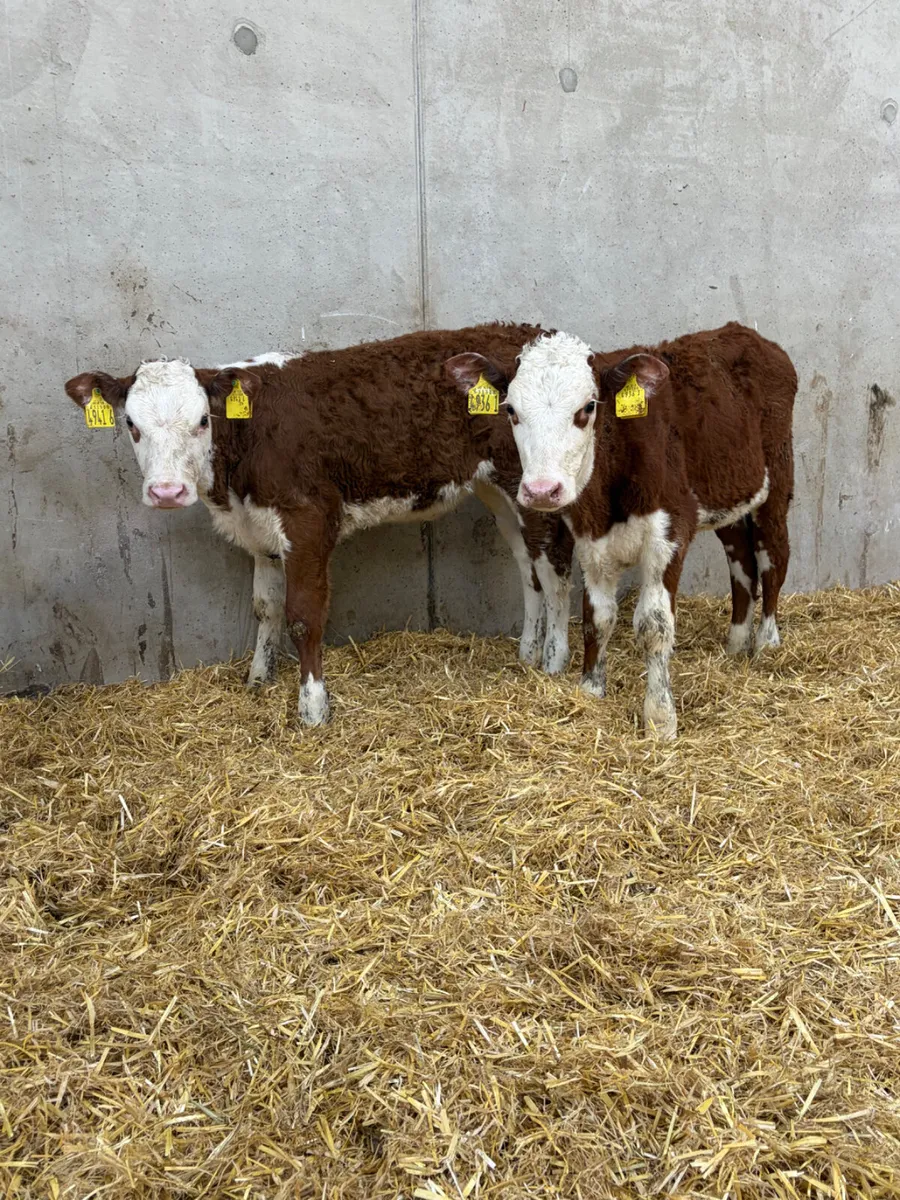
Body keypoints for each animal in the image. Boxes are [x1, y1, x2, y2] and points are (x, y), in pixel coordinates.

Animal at [65, 325, 575, 724]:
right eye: (131, 424)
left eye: (202, 420)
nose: (167, 492)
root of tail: (530, 332)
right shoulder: (260, 530)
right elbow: (265, 607)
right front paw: (258, 679)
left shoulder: (307, 520)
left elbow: (303, 615)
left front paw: (312, 708)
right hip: (497, 490)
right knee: (527, 564)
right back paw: (527, 654)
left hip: (533, 486)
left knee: (554, 568)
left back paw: (553, 662)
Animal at [444, 322, 796, 739]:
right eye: (511, 410)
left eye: (588, 407)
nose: (542, 490)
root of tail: (744, 332)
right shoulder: (590, 539)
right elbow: (597, 617)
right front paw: (591, 689)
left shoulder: (669, 533)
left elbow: (654, 625)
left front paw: (660, 719)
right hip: (725, 493)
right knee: (741, 560)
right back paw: (736, 644)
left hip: (777, 479)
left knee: (773, 557)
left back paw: (767, 644)